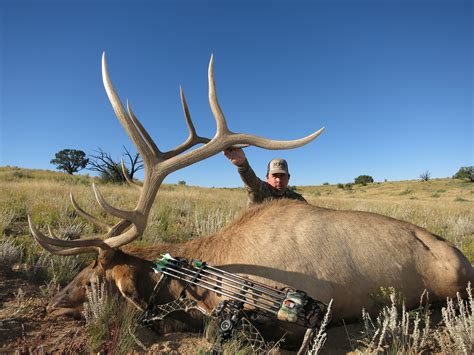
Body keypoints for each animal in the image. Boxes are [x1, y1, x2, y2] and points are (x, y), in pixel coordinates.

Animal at [28, 53, 474, 348]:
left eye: (92, 278)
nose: (50, 304)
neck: (191, 279)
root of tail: (464, 258)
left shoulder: (287, 319)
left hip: (452, 288)